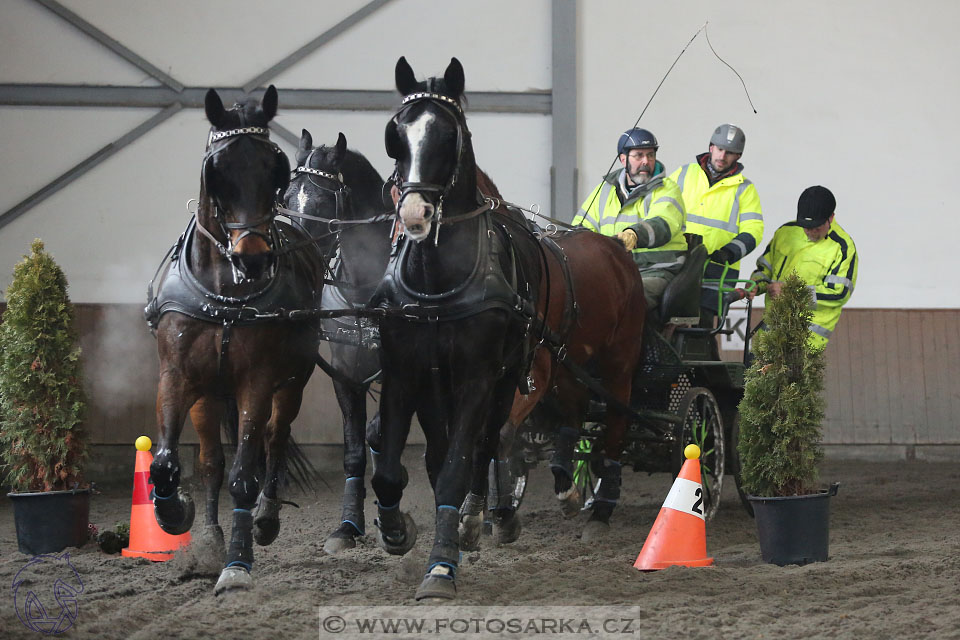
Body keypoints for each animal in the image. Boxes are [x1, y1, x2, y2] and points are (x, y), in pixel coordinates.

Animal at [142, 85, 322, 596]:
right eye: (217, 171)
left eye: (273, 167)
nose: (253, 258)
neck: (224, 290)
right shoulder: (176, 375)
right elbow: (167, 462)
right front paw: (175, 514)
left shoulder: (256, 382)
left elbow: (245, 474)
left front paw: (237, 565)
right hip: (208, 394)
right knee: (210, 462)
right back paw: (209, 536)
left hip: (293, 383)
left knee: (274, 440)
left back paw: (265, 517)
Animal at [282, 130, 394, 556]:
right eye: (286, 197)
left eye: (320, 202)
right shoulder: (345, 373)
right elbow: (354, 449)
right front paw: (348, 525)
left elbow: (378, 433)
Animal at [372, 55, 544, 600]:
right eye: (396, 134)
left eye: (450, 134)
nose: (414, 211)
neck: (435, 281)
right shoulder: (403, 373)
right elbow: (389, 472)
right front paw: (396, 531)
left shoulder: (477, 377)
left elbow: (456, 470)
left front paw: (441, 567)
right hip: (435, 388)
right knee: (440, 451)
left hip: (505, 379)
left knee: (485, 445)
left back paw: (475, 520)